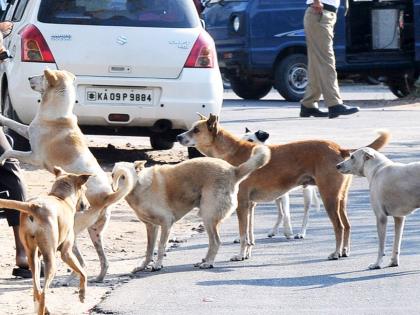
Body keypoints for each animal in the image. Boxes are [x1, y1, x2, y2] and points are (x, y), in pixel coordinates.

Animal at [0, 69, 132, 282]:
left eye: (42, 76)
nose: (29, 78)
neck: (58, 113)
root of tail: (107, 197)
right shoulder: (27, 130)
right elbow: (11, 122)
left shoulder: (34, 157)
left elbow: (10, 151)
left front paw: (2, 159)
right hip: (95, 233)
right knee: (103, 261)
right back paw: (97, 278)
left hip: (72, 231)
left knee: (81, 262)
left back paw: (69, 280)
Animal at [0, 168, 90, 315]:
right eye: (85, 189)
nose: (88, 205)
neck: (60, 198)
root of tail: (33, 206)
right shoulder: (66, 253)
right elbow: (83, 272)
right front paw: (82, 294)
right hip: (51, 260)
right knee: (43, 293)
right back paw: (44, 309)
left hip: (33, 258)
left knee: (37, 290)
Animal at [110, 146, 270, 272]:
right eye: (113, 175)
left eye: (124, 176)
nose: (114, 189)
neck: (140, 185)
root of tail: (233, 170)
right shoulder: (151, 227)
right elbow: (149, 250)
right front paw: (143, 266)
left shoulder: (166, 222)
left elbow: (161, 247)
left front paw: (158, 265)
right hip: (209, 217)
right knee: (214, 242)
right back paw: (205, 261)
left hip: (208, 217)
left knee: (216, 242)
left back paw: (209, 263)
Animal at [177, 114, 390, 262]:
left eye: (195, 130)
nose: (178, 136)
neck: (232, 151)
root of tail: (339, 148)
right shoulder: (250, 206)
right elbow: (250, 234)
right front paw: (246, 254)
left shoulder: (242, 204)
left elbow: (243, 234)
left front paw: (240, 255)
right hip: (340, 199)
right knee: (347, 225)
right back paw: (345, 251)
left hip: (328, 198)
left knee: (338, 227)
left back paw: (336, 252)